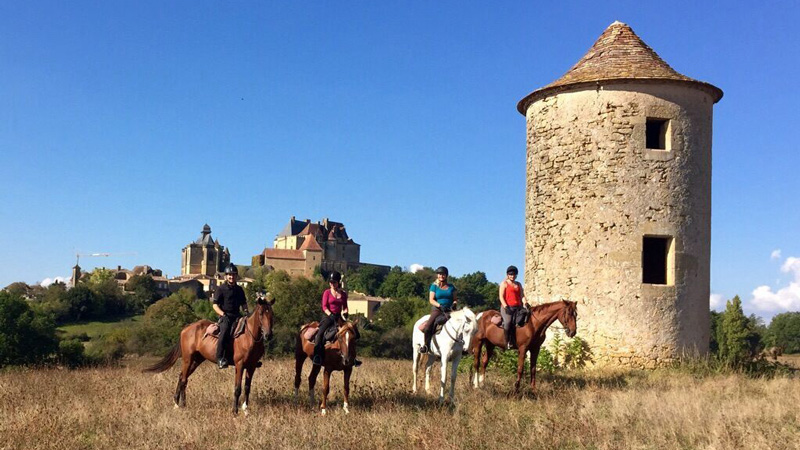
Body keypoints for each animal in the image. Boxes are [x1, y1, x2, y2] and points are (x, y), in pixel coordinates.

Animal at [145, 298, 276, 416]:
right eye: (261, 313)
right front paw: (234, 411)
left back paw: (180, 404)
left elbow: (247, 388)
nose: (268, 335)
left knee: (183, 377)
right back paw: (179, 405)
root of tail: (186, 328)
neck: (249, 336)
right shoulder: (239, 365)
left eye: (272, 314)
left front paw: (246, 410)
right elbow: (237, 388)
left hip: (196, 360)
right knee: (183, 379)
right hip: (188, 359)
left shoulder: (251, 366)